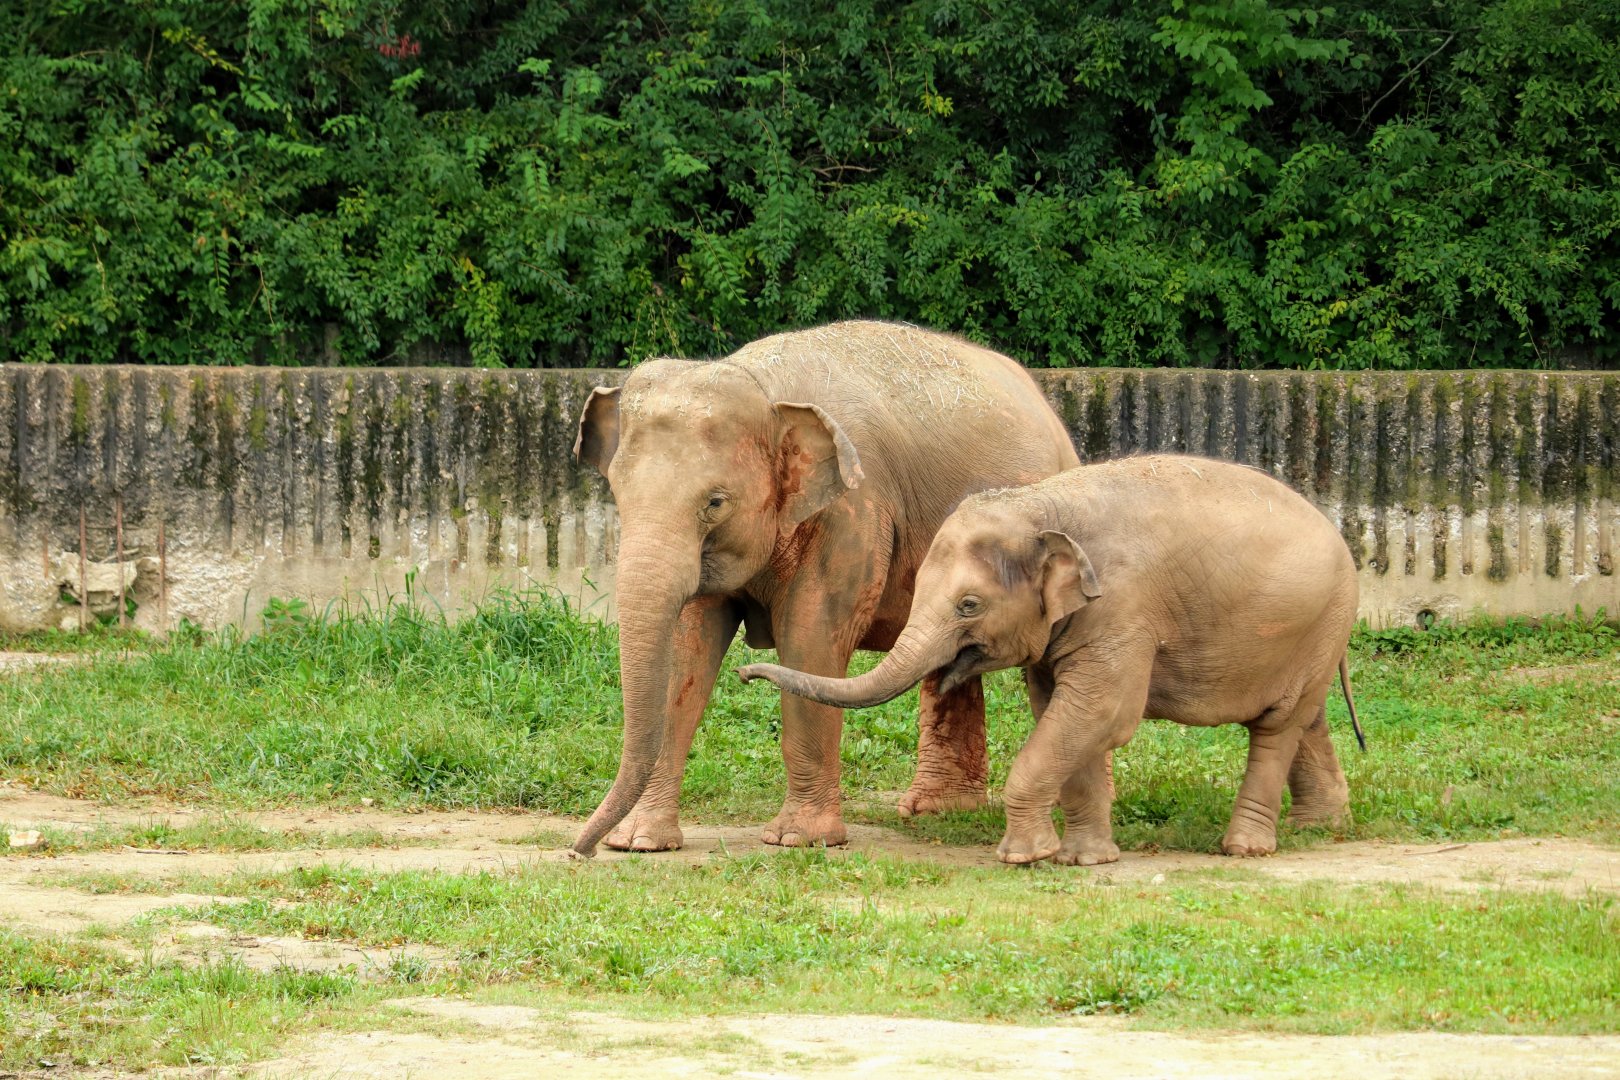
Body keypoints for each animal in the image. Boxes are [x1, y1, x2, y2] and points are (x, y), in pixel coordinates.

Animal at [569, 321, 1079, 857]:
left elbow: (810, 636)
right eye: (618, 493)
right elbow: (689, 647)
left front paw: (798, 839)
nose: (580, 851)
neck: (765, 388)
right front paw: (638, 842)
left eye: (715, 502)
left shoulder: (855, 508)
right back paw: (937, 811)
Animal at [738, 454, 1365, 865]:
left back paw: (1245, 849)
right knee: (1305, 718)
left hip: (1325, 617)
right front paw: (1084, 860)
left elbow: (1102, 712)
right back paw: (1321, 825)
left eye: (969, 605)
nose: (746, 670)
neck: (1041, 503)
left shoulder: (1123, 609)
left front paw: (1024, 856)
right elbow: (1060, 713)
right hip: (1313, 632)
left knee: (1277, 729)